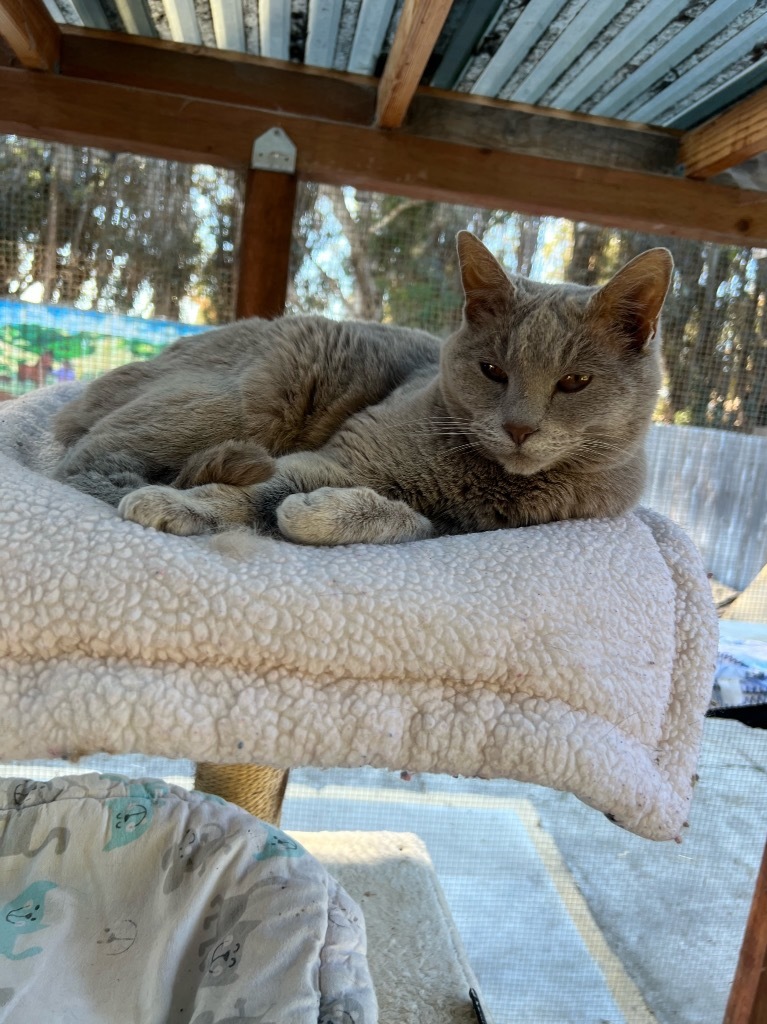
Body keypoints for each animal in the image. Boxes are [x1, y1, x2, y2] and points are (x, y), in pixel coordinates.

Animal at [52, 233, 671, 548]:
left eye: (574, 381)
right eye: (493, 369)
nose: (519, 427)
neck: (488, 483)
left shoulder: (454, 528)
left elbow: (403, 521)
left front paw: (322, 512)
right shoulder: (338, 455)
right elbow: (255, 492)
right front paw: (180, 504)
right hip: (250, 396)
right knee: (84, 464)